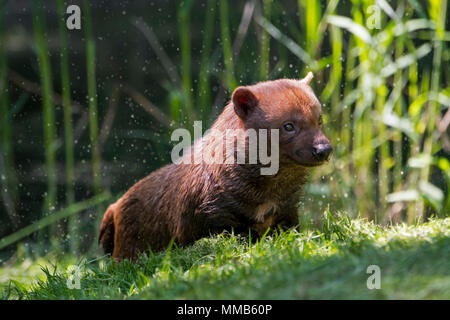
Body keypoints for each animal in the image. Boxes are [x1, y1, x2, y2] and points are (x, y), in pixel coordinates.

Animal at [99, 72, 330, 260]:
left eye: (319, 119)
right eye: (288, 125)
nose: (324, 149)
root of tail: (114, 207)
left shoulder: (287, 207)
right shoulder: (213, 215)